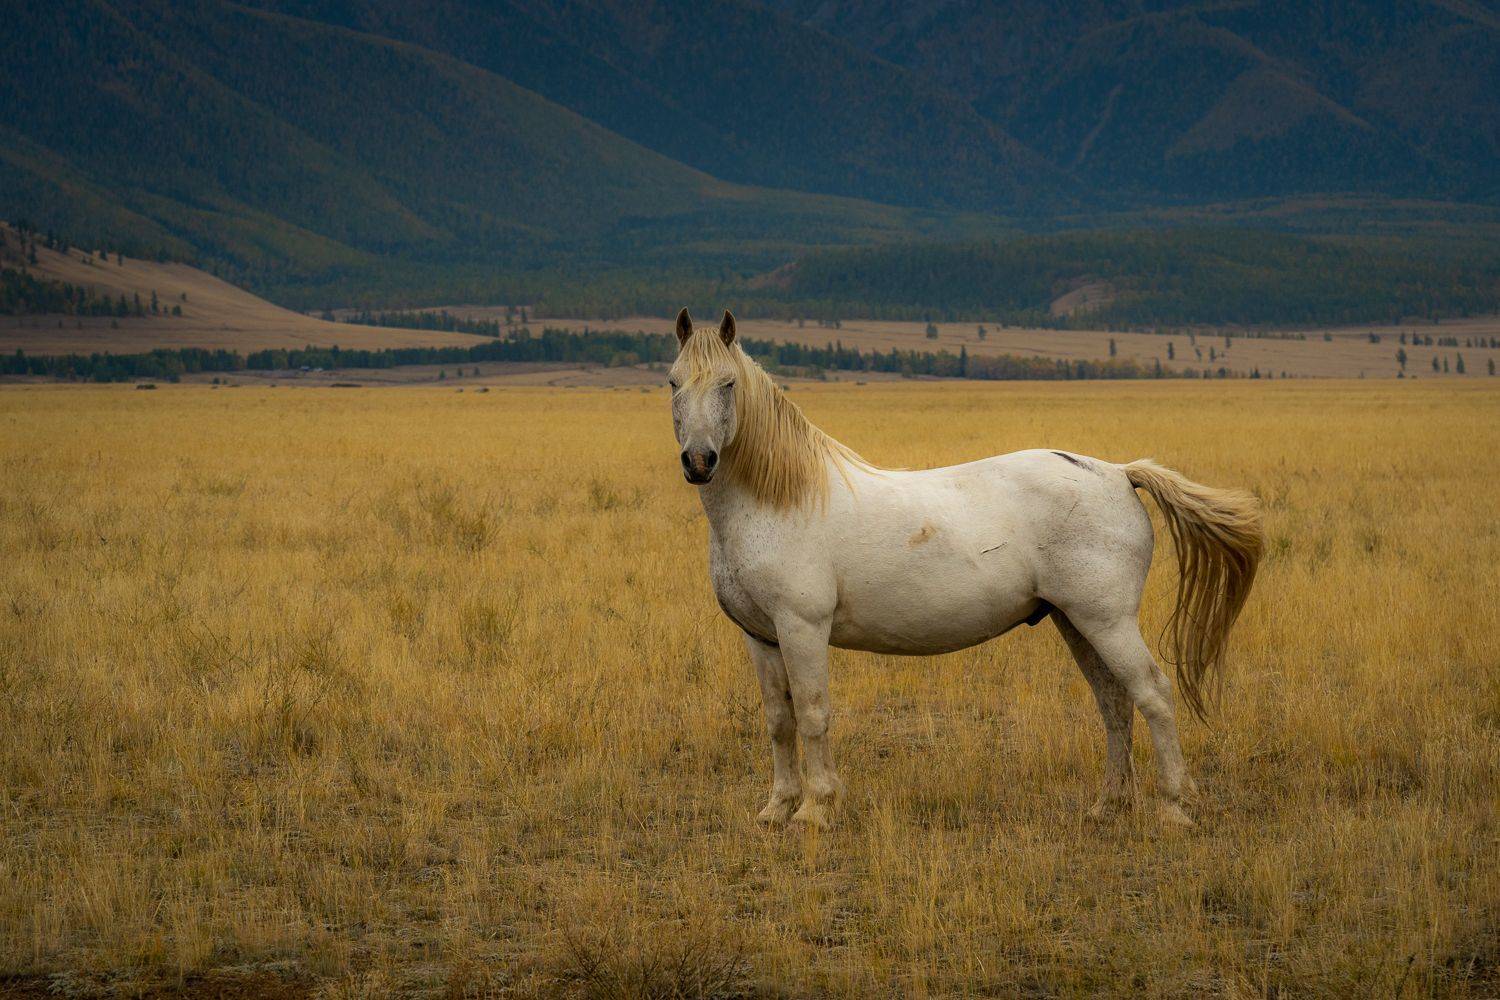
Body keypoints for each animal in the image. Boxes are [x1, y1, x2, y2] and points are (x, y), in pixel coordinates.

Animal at [666, 308, 1263, 829]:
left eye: (727, 385)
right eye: (673, 383)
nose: (699, 461)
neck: (780, 501)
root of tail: (1117, 473)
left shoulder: (801, 628)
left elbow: (813, 714)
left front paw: (816, 810)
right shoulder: (761, 637)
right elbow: (778, 719)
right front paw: (777, 809)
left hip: (1108, 621)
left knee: (1154, 693)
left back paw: (1175, 807)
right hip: (1077, 622)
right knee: (1114, 702)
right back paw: (1108, 806)